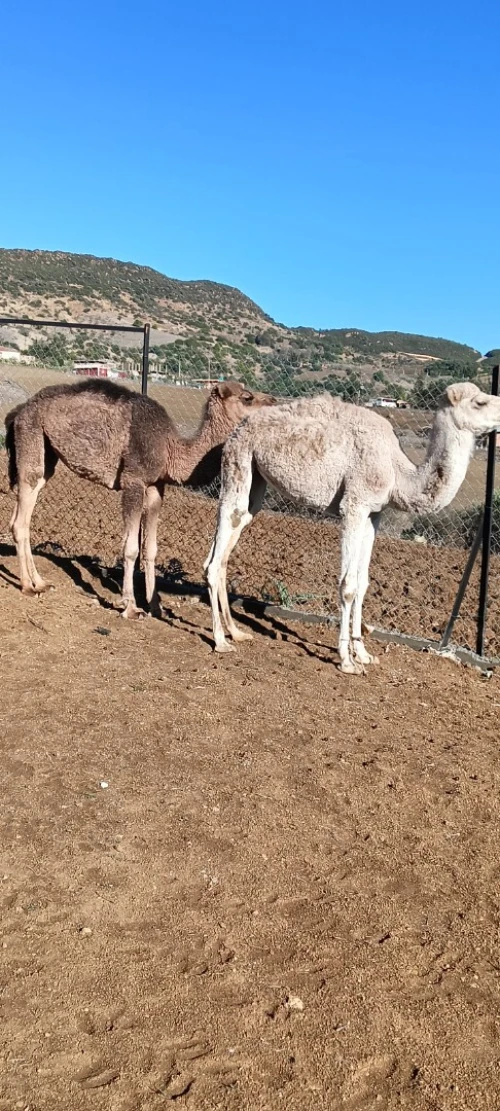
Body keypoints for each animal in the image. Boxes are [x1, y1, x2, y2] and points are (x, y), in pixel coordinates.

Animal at [5, 377, 274, 617]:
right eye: (247, 397)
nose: (273, 400)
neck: (170, 448)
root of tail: (19, 410)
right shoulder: (133, 481)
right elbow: (131, 548)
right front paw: (130, 607)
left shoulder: (156, 486)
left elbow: (151, 549)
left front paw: (155, 606)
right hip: (31, 436)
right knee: (21, 519)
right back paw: (28, 586)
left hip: (45, 454)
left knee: (25, 509)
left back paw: (40, 582)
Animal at [204, 381, 500, 672]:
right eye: (480, 402)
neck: (397, 473)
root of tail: (238, 428)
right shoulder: (354, 506)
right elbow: (348, 585)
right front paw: (346, 660)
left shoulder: (374, 513)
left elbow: (363, 582)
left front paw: (364, 654)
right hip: (238, 462)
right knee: (221, 542)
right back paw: (220, 641)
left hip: (257, 481)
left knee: (230, 536)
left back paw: (236, 633)